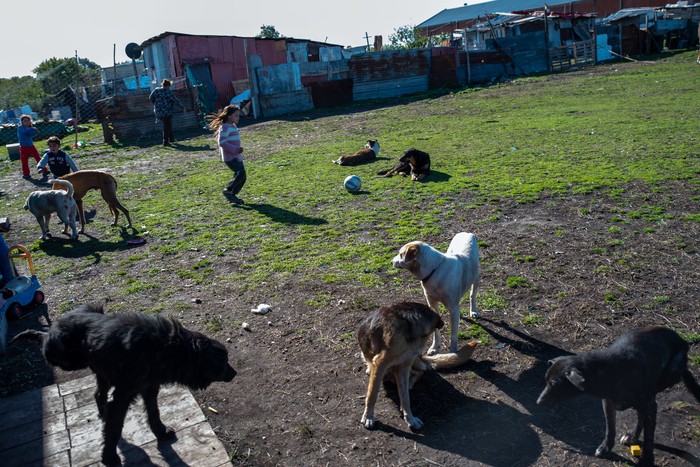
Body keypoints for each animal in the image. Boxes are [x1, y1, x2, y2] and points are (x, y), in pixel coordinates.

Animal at [12, 306, 237, 466]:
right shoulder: (124, 396)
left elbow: (153, 413)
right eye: (222, 362)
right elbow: (115, 429)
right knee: (46, 342)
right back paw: (34, 334)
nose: (234, 373)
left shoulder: (150, 388)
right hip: (66, 359)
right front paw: (109, 457)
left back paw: (102, 413)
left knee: (98, 394)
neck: (165, 348)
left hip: (100, 371)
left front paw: (160, 432)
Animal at [358, 304, 478, 432]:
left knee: (422, 371)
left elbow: (406, 399)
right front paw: (368, 417)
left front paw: (410, 419)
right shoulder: (380, 364)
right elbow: (372, 394)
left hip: (413, 362)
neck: (408, 326)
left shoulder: (404, 366)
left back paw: (409, 385)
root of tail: (421, 357)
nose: (418, 349)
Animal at [540, 326, 696, 467]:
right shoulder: (608, 404)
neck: (610, 370)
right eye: (546, 381)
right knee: (640, 417)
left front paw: (647, 459)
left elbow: (649, 438)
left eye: (554, 384)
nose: (538, 402)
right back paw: (632, 436)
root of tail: (681, 339)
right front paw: (605, 448)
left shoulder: (649, 406)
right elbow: (610, 429)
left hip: (667, 377)